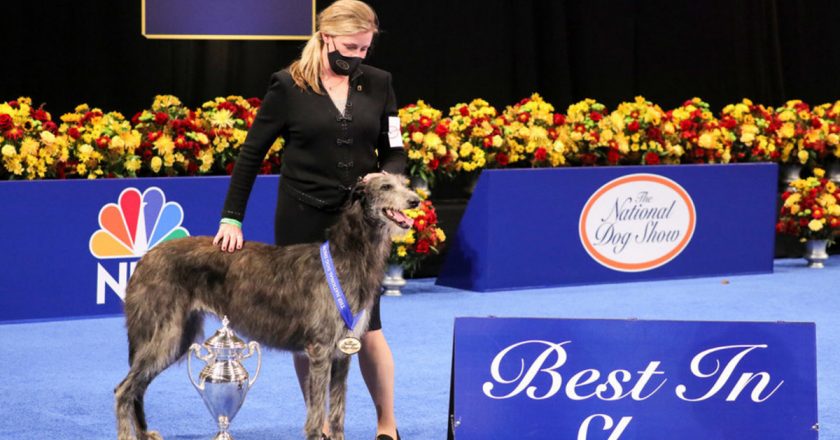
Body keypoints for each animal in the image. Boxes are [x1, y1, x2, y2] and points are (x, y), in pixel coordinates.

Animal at [113, 174, 420, 438]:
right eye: (386, 187)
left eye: (404, 183)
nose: (416, 200)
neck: (346, 256)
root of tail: (145, 258)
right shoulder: (321, 350)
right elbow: (316, 415)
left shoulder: (344, 351)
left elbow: (337, 414)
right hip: (165, 332)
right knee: (123, 389)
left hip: (179, 335)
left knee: (138, 388)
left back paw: (143, 433)